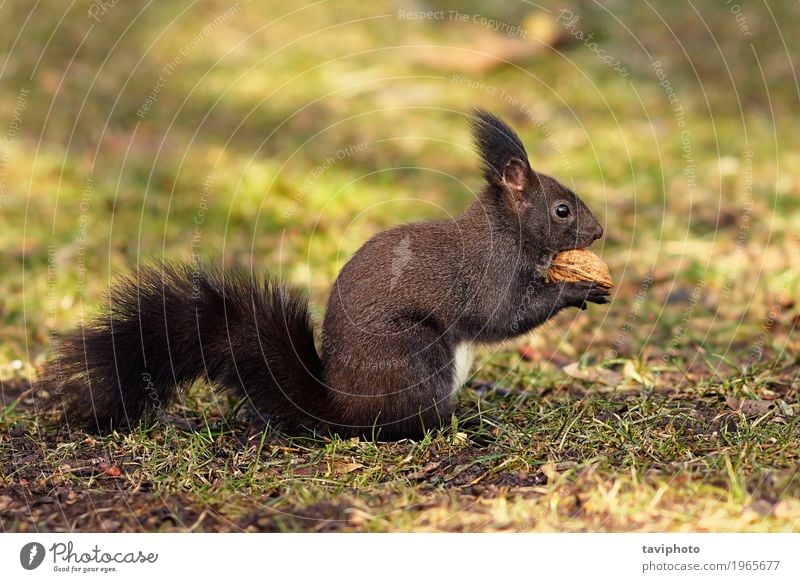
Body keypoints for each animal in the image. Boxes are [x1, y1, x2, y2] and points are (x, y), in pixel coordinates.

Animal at [42, 109, 608, 440]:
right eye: (561, 210)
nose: (600, 232)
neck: (506, 231)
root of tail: (339, 410)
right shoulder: (488, 274)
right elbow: (504, 316)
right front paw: (576, 288)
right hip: (415, 355)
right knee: (403, 427)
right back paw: (456, 427)